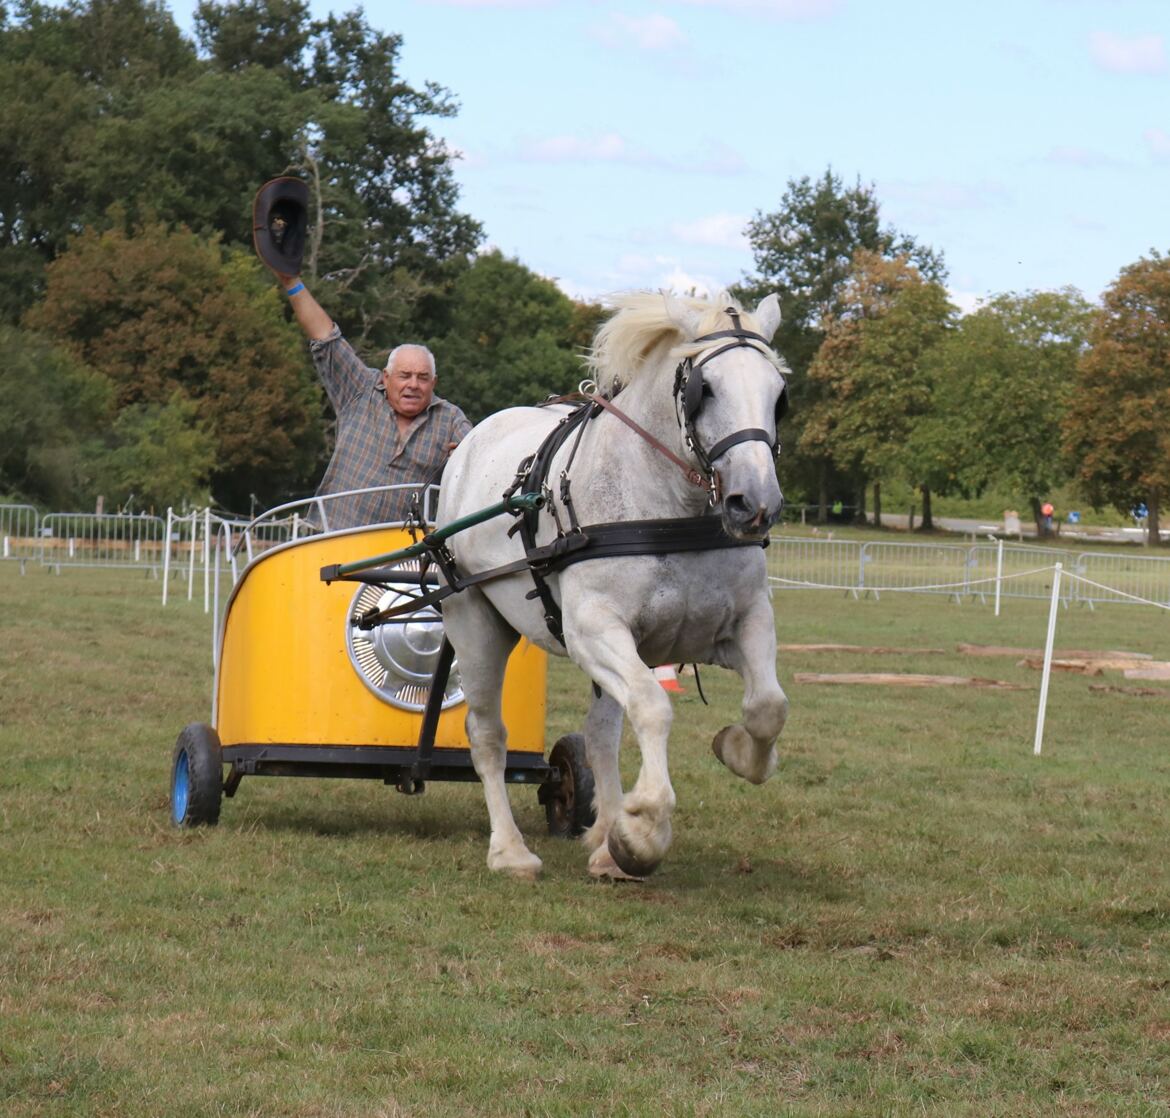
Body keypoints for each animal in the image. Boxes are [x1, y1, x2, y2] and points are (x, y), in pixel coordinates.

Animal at [435, 290, 790, 884]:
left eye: (779, 395)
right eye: (705, 389)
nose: (755, 503)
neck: (667, 509)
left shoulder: (744, 623)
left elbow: (767, 706)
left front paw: (737, 752)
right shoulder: (594, 631)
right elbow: (653, 707)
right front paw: (642, 829)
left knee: (600, 734)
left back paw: (601, 838)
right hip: (475, 621)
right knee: (487, 736)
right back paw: (510, 851)